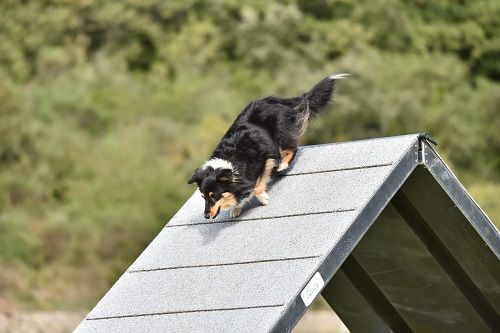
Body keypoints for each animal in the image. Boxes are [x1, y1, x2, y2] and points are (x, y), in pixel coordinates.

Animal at [188, 72, 348, 218]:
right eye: (203, 197)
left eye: (215, 196)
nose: (206, 216)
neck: (231, 165)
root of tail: (277, 101)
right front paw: (236, 209)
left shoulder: (265, 156)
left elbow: (257, 186)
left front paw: (263, 199)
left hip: (281, 134)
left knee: (292, 149)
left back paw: (282, 165)